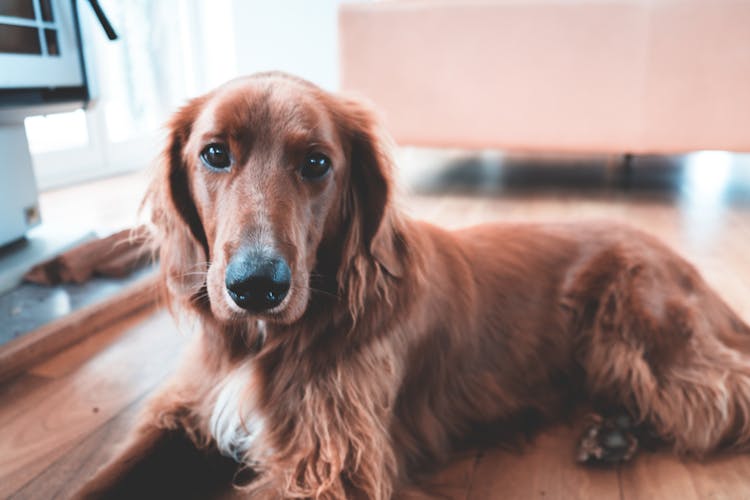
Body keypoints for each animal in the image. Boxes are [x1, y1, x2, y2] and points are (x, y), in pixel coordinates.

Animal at [75, 72, 750, 498]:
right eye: (215, 154)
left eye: (316, 163)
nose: (257, 287)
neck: (269, 340)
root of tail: (674, 256)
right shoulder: (187, 413)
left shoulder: (329, 465)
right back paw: (613, 433)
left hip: (644, 341)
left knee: (724, 394)